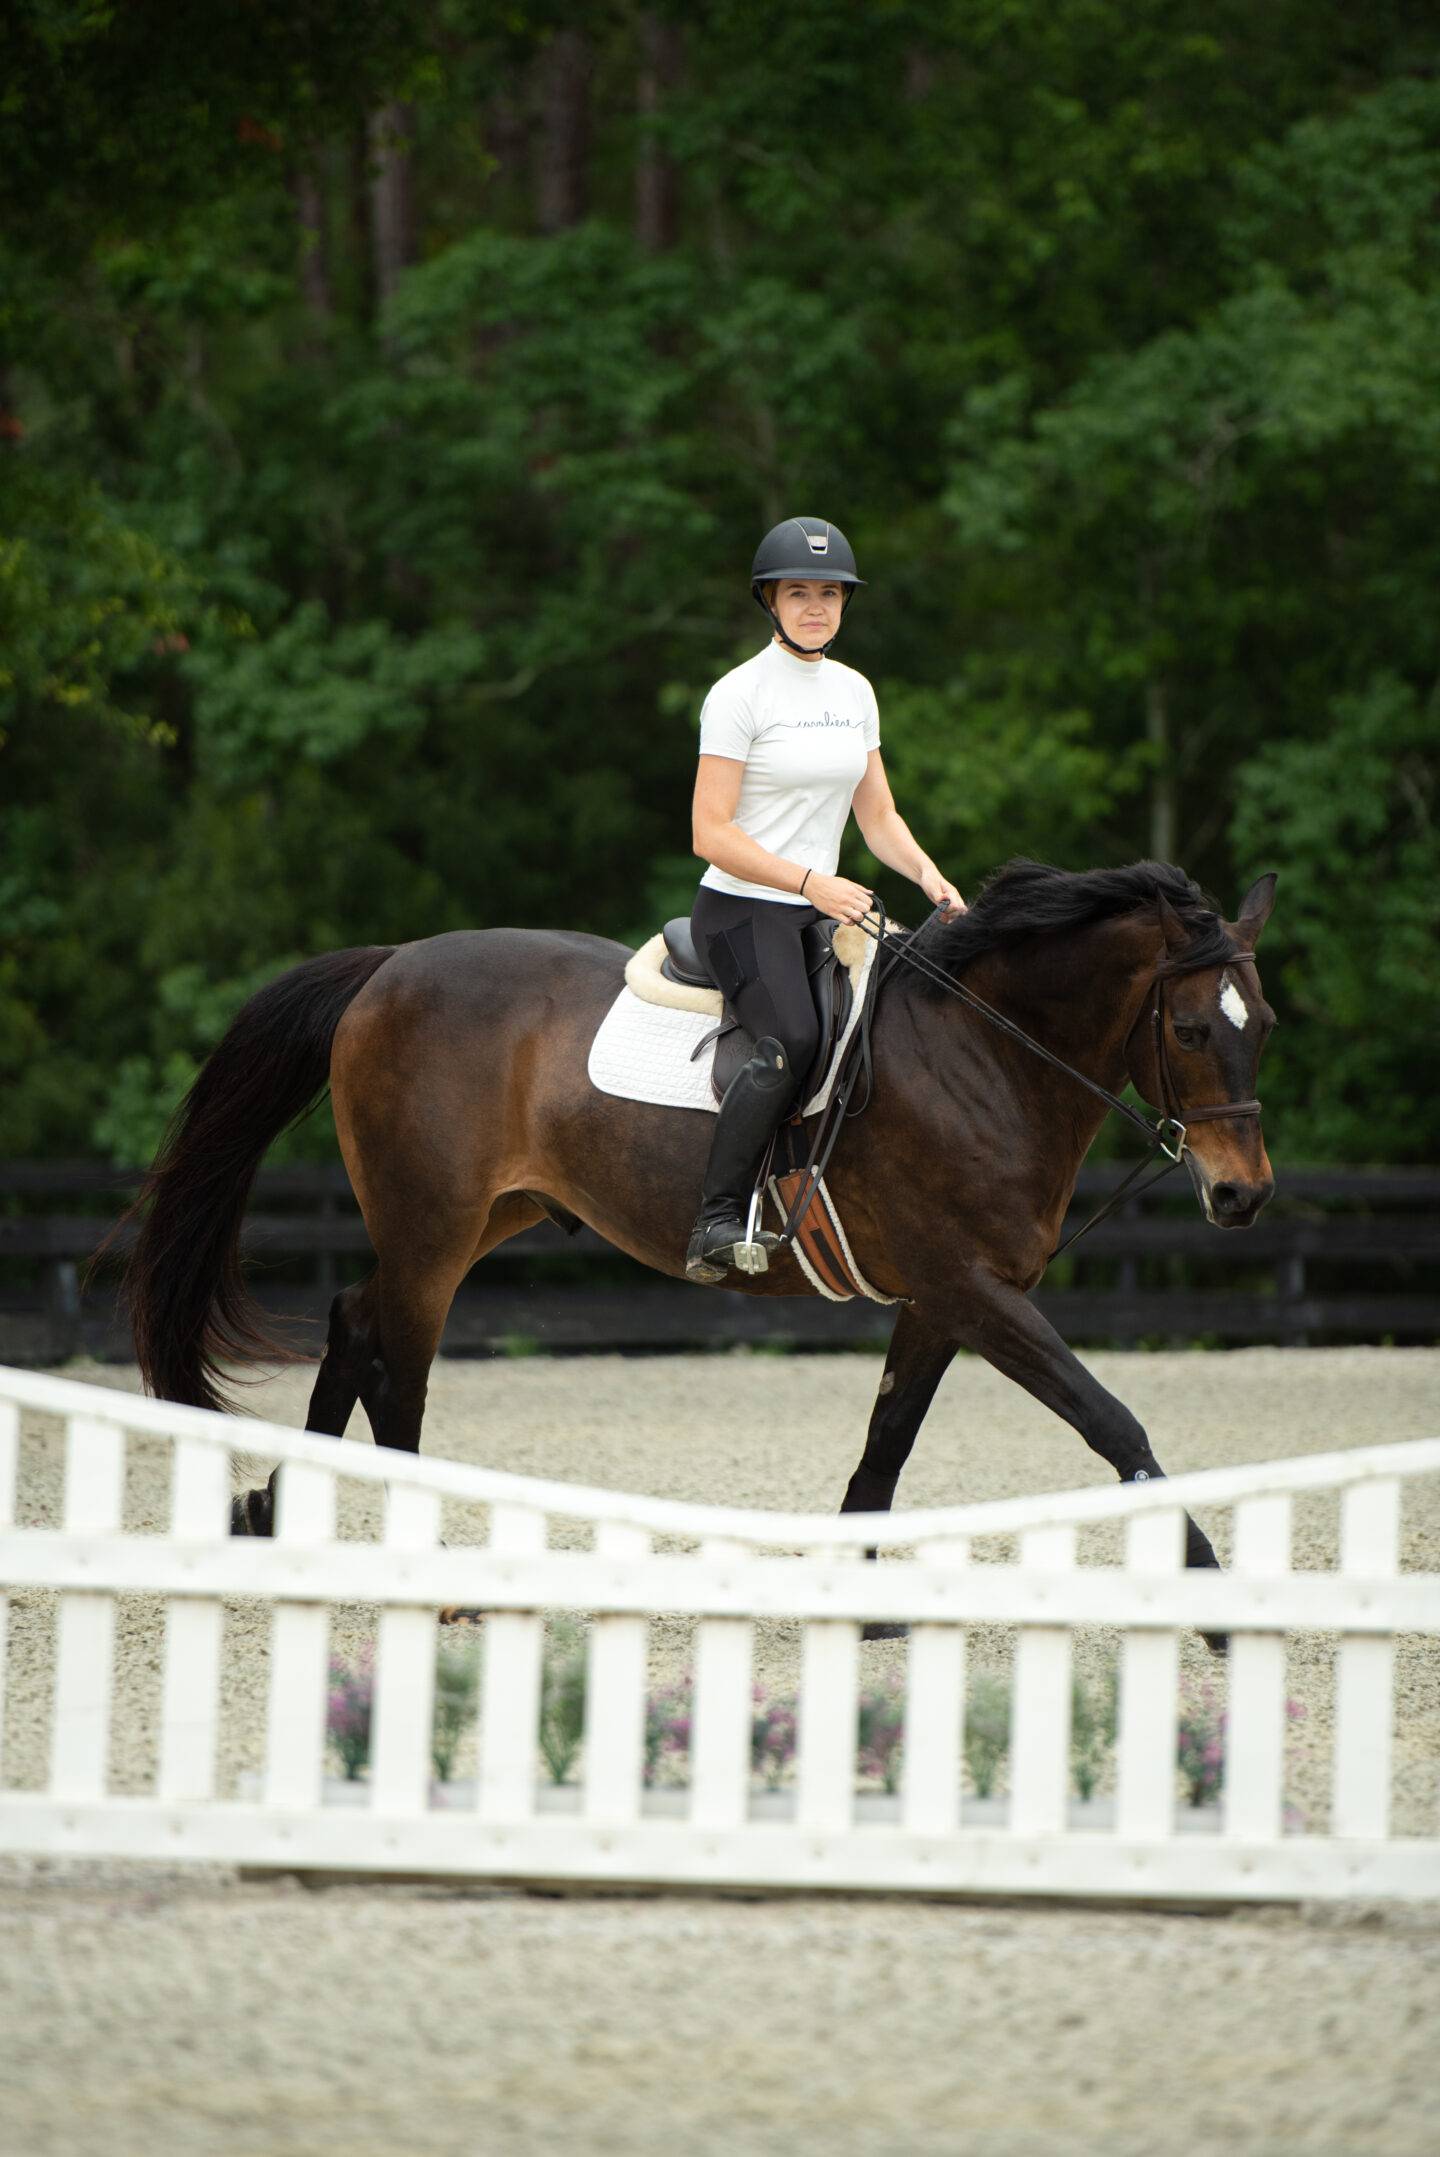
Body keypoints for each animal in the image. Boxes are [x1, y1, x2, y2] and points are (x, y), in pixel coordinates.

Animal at [118, 858, 1276, 1587]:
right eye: (1187, 1028)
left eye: (1260, 1022)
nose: (1244, 1196)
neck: (984, 1053)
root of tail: (391, 964)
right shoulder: (972, 1290)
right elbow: (1110, 1420)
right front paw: (1210, 1587)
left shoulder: (943, 1301)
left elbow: (887, 1445)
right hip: (434, 1231)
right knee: (396, 1361)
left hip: (481, 1216)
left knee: (353, 1320)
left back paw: (286, 1521)